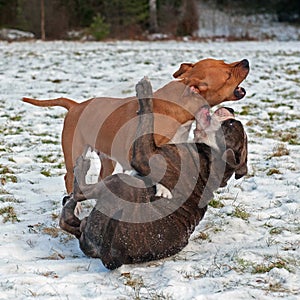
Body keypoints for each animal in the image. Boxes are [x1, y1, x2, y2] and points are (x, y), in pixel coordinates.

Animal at [22, 57, 248, 192]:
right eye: (228, 75)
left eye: (225, 61)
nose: (245, 61)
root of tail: (76, 106)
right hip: (74, 152)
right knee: (70, 177)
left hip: (107, 159)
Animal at [59, 77, 248, 270]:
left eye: (231, 124)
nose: (231, 110)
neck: (211, 156)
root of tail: (116, 253)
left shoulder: (144, 156)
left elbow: (147, 117)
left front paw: (145, 90)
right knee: (68, 218)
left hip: (119, 182)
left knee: (79, 192)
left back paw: (81, 171)